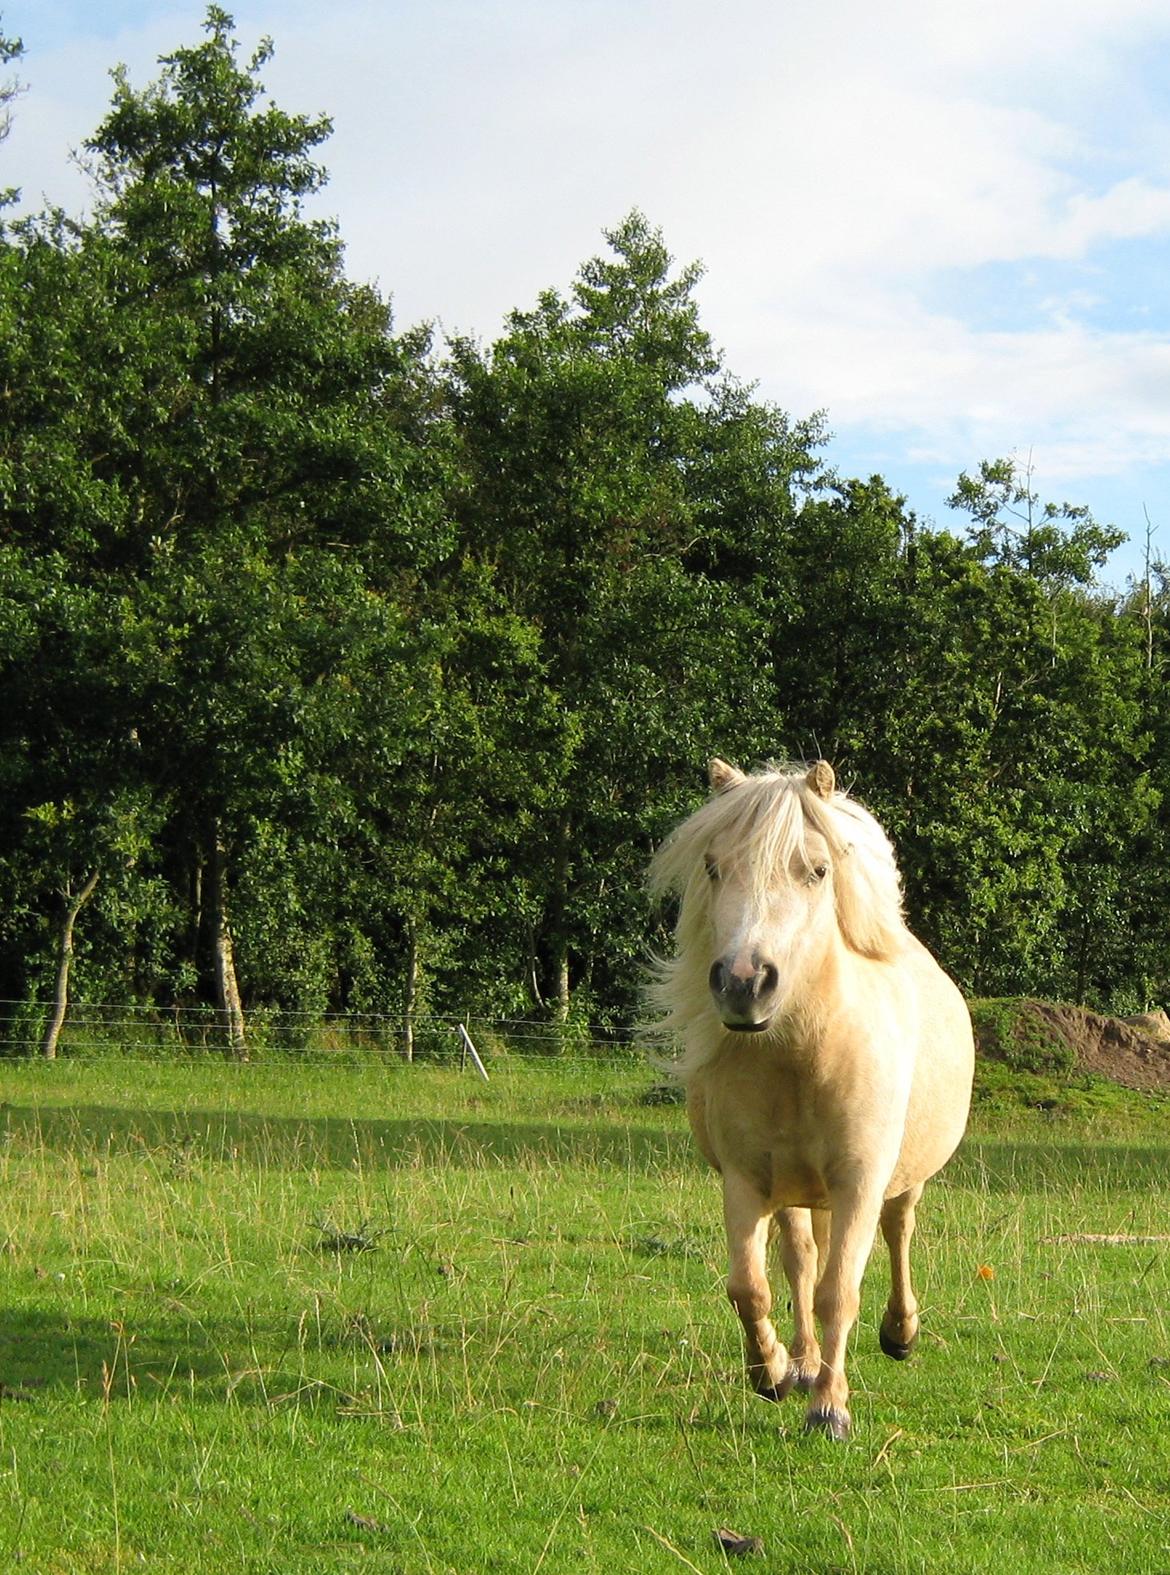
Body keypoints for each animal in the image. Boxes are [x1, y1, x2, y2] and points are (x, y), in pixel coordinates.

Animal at [655, 759, 976, 1442]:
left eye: (818, 870)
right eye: (713, 866)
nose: (744, 984)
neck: (804, 1054)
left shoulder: (859, 1179)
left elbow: (840, 1292)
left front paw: (830, 1408)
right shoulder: (746, 1180)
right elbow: (751, 1286)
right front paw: (774, 1372)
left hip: (898, 1179)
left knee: (897, 1232)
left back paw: (899, 1333)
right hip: (796, 1189)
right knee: (802, 1259)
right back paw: (801, 1362)